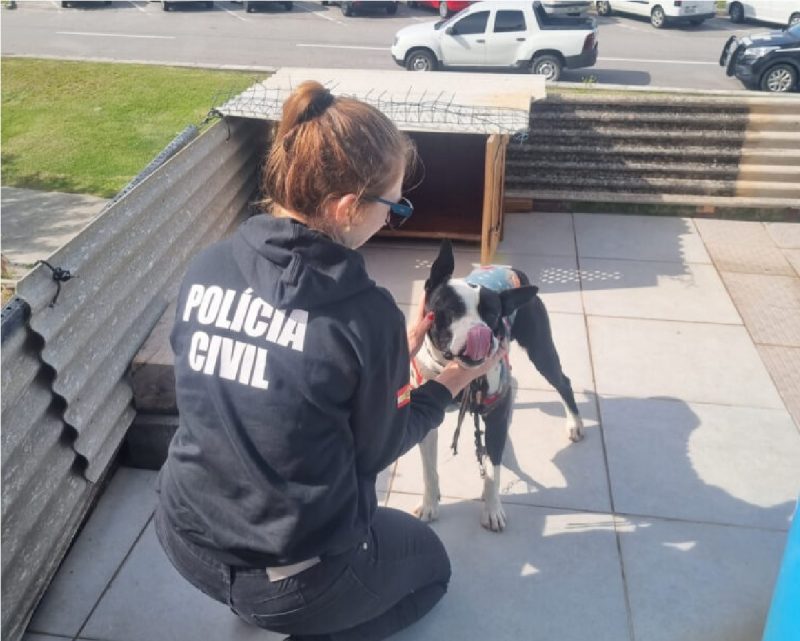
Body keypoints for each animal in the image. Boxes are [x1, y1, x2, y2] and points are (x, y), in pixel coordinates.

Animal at [412, 240, 580, 528]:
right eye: (452, 309)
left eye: (492, 315)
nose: (482, 333)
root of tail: (512, 269)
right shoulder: (427, 421)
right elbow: (429, 470)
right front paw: (430, 505)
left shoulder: (495, 421)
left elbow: (493, 471)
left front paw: (492, 510)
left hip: (540, 349)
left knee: (563, 382)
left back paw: (574, 423)